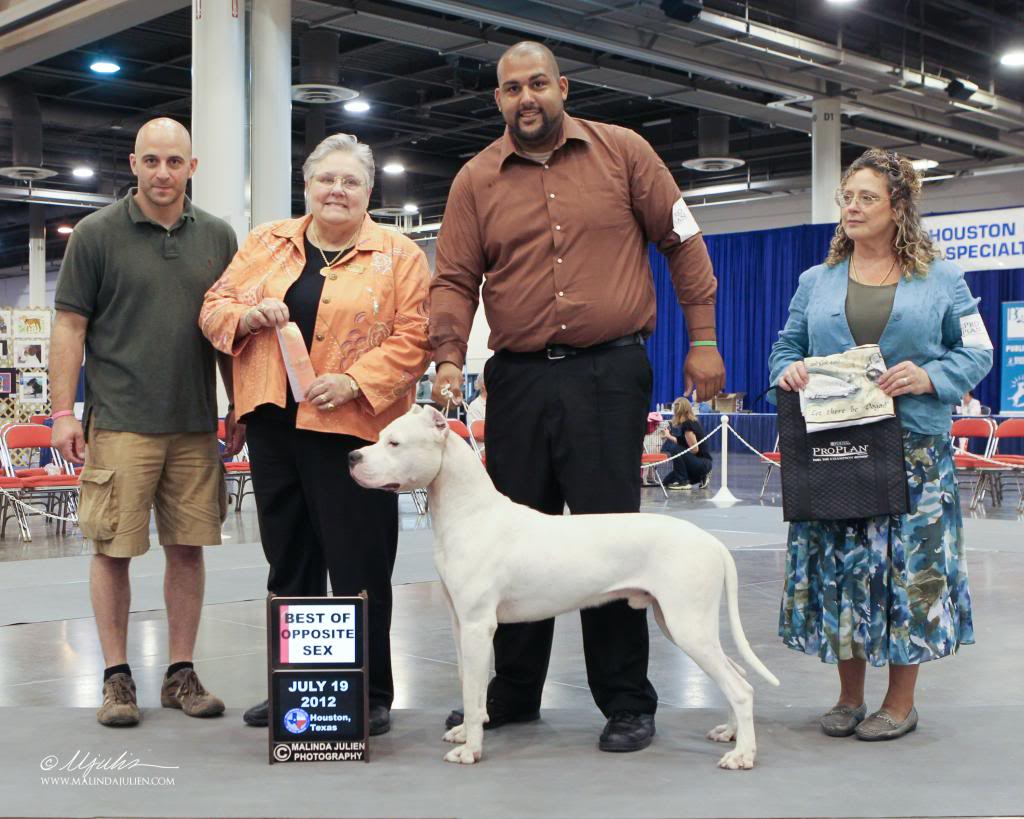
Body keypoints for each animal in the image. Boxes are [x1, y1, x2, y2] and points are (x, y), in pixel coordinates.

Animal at [348, 405, 778, 769]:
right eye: (380, 436)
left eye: (394, 443)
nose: (353, 458)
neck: (469, 512)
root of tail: (712, 542)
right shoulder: (460, 624)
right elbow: (468, 685)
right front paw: (465, 730)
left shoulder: (477, 626)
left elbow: (473, 691)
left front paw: (470, 750)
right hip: (679, 622)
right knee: (737, 674)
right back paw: (731, 733)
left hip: (688, 623)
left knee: (740, 687)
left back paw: (743, 755)